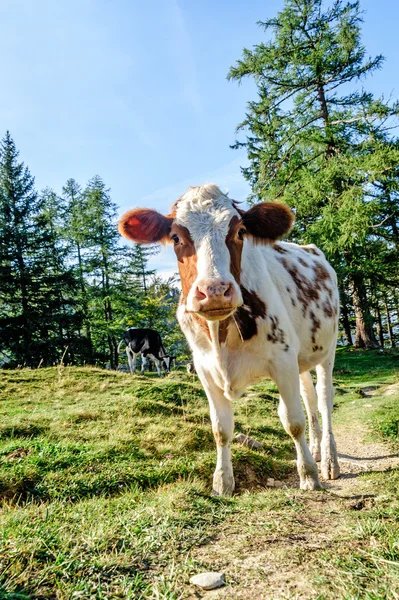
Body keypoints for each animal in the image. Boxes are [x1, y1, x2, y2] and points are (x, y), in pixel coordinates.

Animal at [119, 185, 340, 494]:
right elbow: (221, 429)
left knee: (323, 400)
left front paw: (308, 475)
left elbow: (293, 422)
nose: (214, 291)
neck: (220, 337)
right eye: (175, 236)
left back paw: (329, 461)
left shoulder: (283, 360)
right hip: (302, 358)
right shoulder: (204, 369)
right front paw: (222, 481)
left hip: (328, 348)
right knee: (309, 399)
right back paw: (318, 450)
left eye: (240, 231)